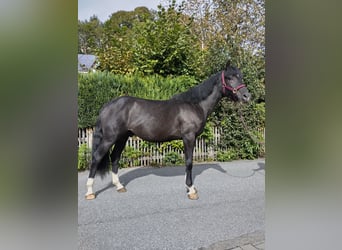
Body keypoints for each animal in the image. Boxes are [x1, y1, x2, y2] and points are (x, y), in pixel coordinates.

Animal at [85, 61, 251, 200]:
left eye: (240, 76)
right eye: (229, 78)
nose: (246, 96)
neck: (195, 104)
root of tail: (108, 106)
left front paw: (189, 187)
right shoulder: (189, 137)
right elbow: (189, 162)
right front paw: (191, 190)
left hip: (122, 137)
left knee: (115, 157)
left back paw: (119, 186)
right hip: (110, 138)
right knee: (96, 158)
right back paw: (90, 192)